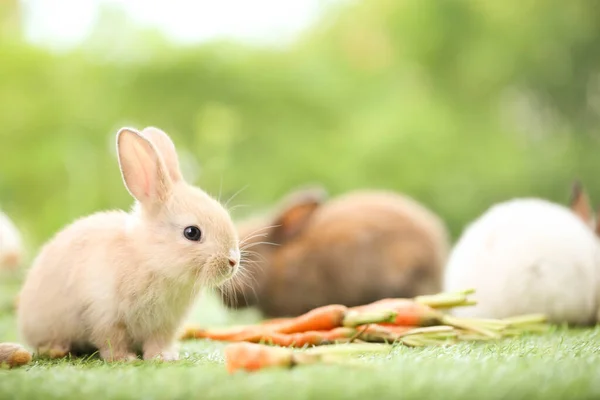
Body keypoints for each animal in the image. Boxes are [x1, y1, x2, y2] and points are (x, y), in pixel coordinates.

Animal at [17, 127, 240, 362]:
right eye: (192, 233)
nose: (233, 261)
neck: (149, 259)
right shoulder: (106, 314)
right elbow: (112, 339)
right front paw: (125, 359)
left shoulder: (164, 324)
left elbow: (158, 340)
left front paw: (163, 356)